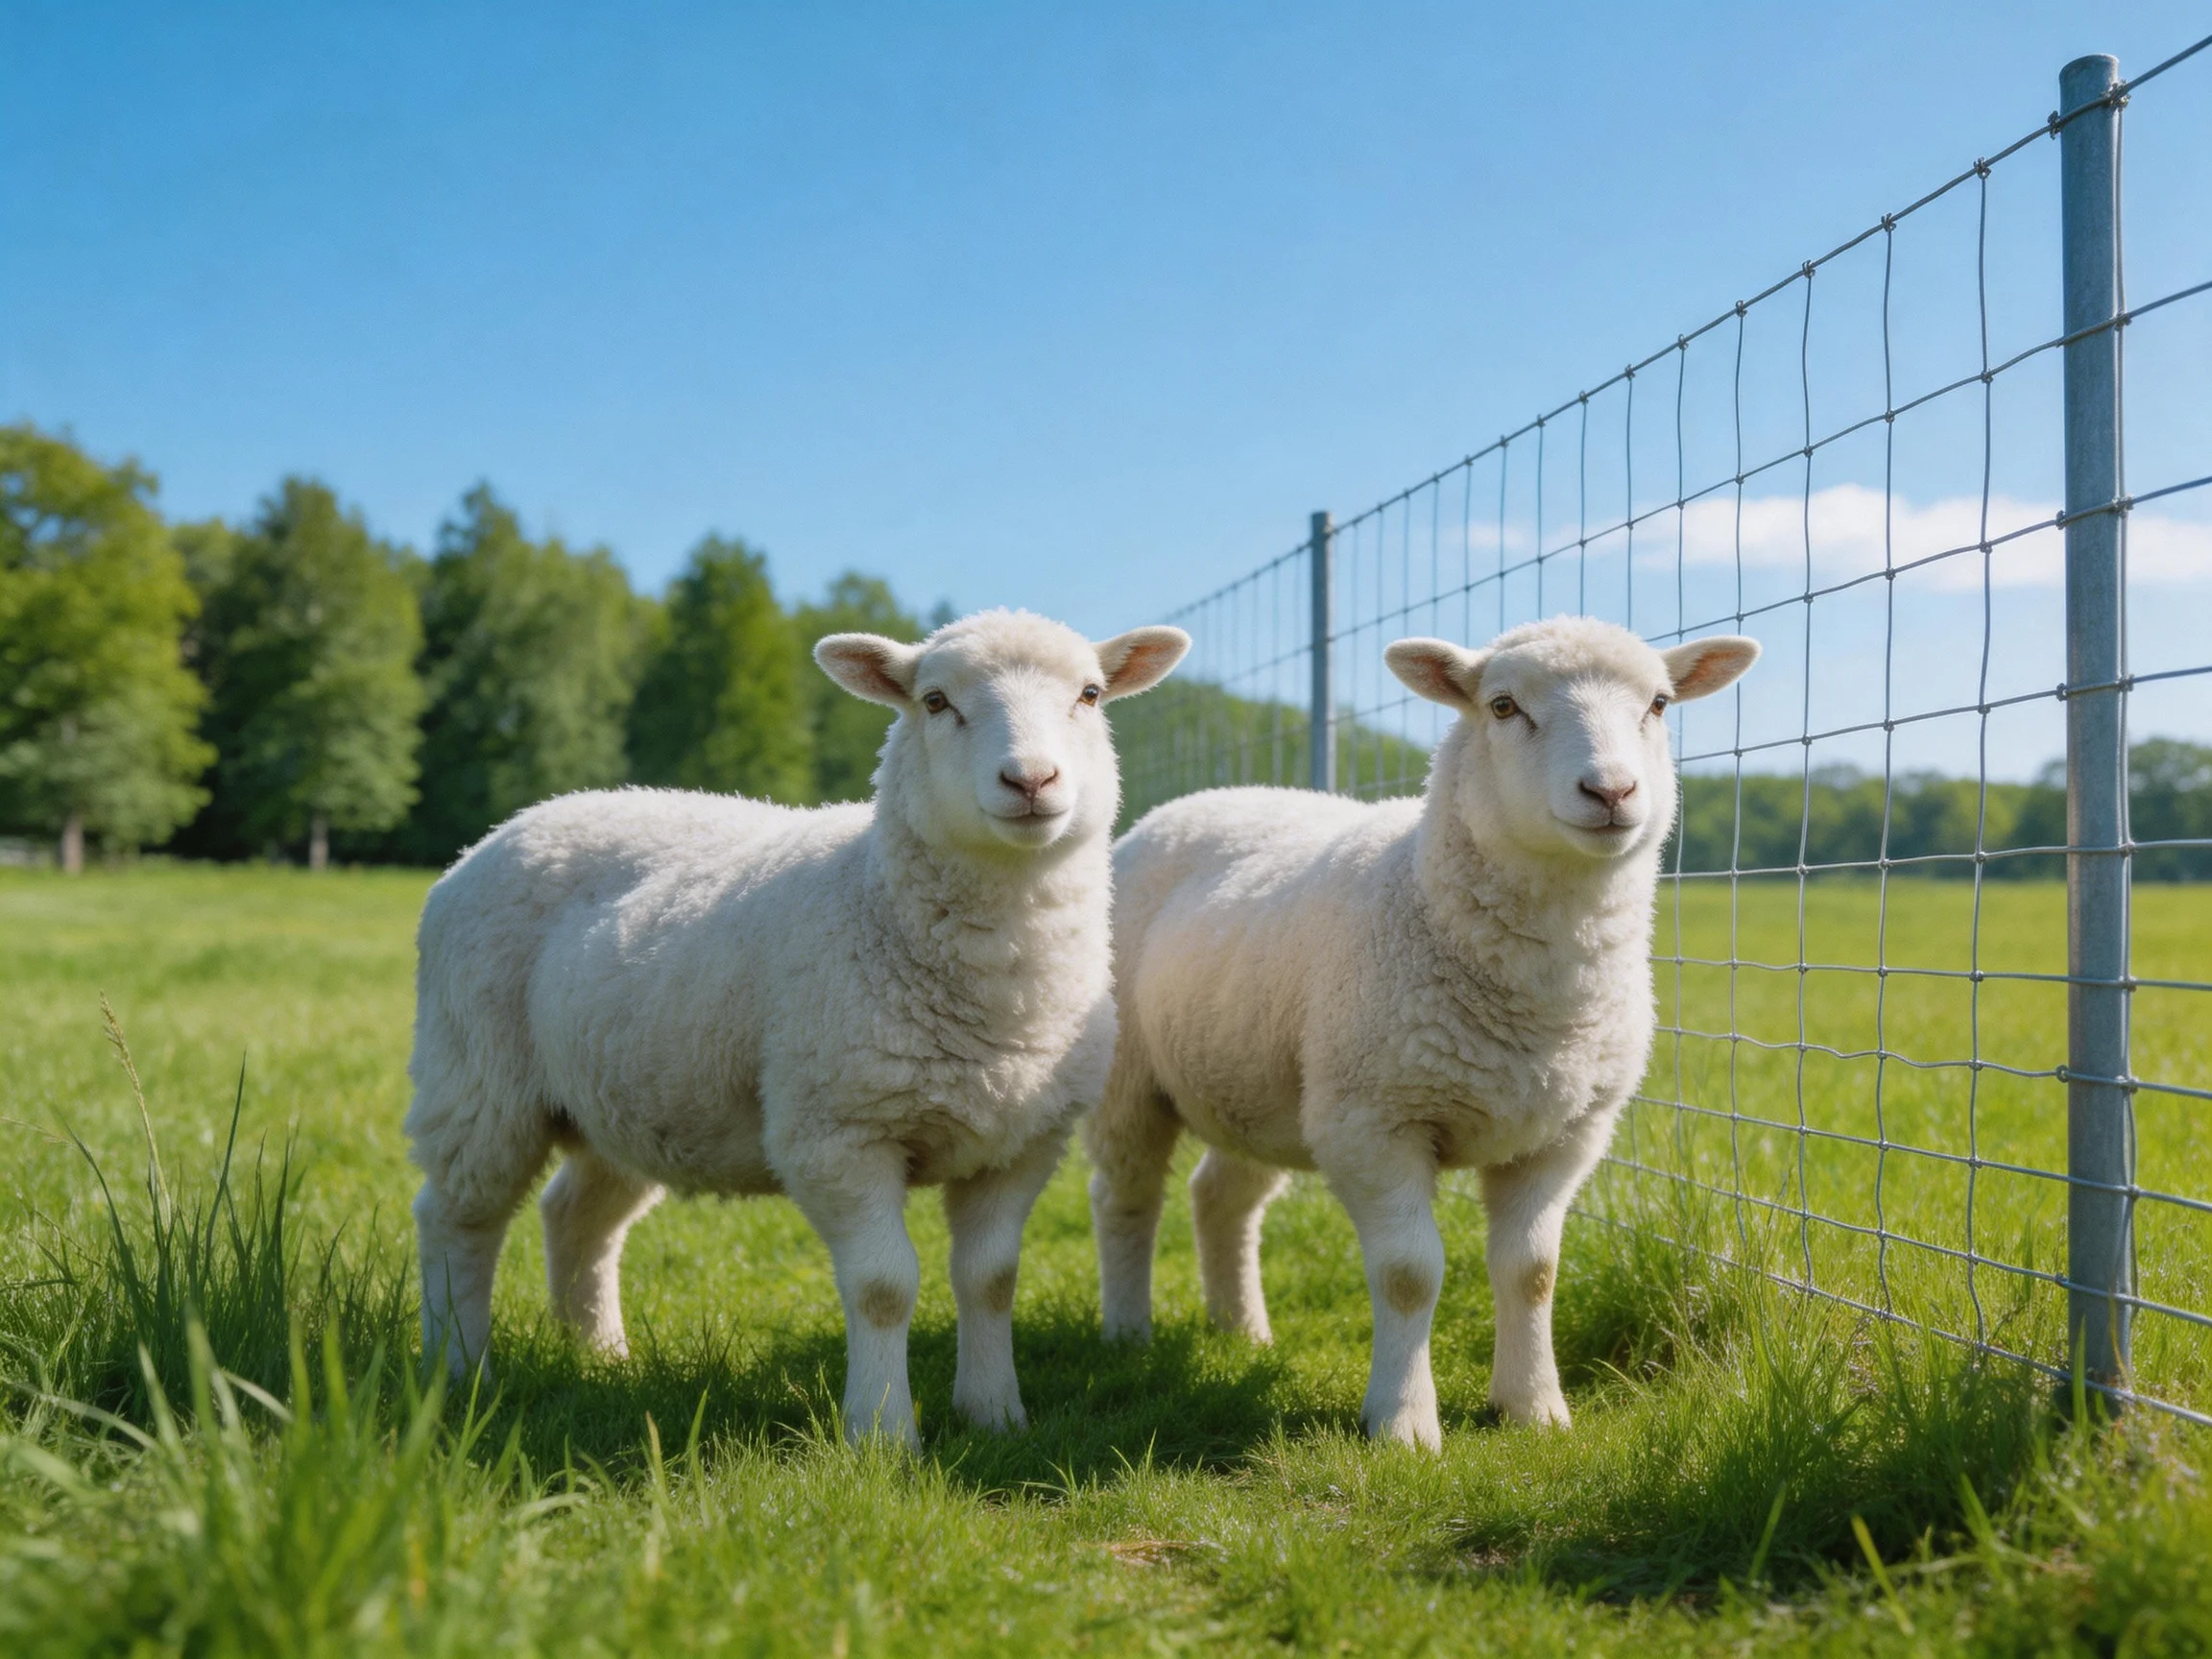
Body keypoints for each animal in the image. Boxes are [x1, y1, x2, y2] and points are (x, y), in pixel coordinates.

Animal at [405, 607, 1190, 1448]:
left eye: (1090, 694)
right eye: (936, 701)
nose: (1031, 781)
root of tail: (504, 831)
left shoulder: (1019, 1141)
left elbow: (991, 1280)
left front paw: (995, 1415)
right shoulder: (837, 1131)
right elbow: (883, 1286)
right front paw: (882, 1434)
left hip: (625, 1092)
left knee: (577, 1216)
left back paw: (599, 1355)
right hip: (477, 1077)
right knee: (457, 1219)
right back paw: (458, 1371)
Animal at [1085, 617, 1758, 1448]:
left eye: (1659, 704)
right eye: (1502, 706)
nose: (1611, 792)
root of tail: (1193, 802)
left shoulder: (1565, 1133)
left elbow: (1533, 1271)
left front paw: (1533, 1409)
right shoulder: (1374, 1122)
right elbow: (1409, 1274)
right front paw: (1402, 1424)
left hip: (1261, 1082)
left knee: (1220, 1197)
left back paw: (1241, 1329)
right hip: (1133, 1081)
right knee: (1127, 1198)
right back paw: (1128, 1333)